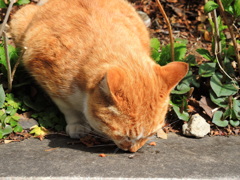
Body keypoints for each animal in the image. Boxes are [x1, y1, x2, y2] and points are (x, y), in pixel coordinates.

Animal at [10, 0, 188, 152]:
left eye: (150, 134)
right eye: (126, 137)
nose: (133, 150)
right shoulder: (44, 71)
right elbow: (67, 107)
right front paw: (77, 123)